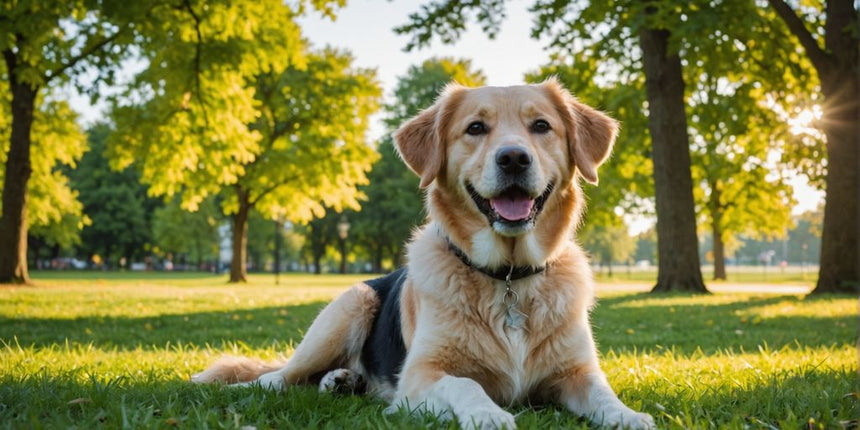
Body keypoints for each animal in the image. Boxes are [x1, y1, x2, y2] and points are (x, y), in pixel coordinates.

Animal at [191, 78, 656, 430]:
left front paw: (627, 415)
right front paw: (488, 414)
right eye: (475, 128)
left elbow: (602, 392)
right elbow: (466, 384)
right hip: (349, 306)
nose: (513, 159)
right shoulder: (420, 376)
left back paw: (341, 381)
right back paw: (243, 389)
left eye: (541, 125)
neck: (507, 277)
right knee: (278, 377)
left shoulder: (576, 373)